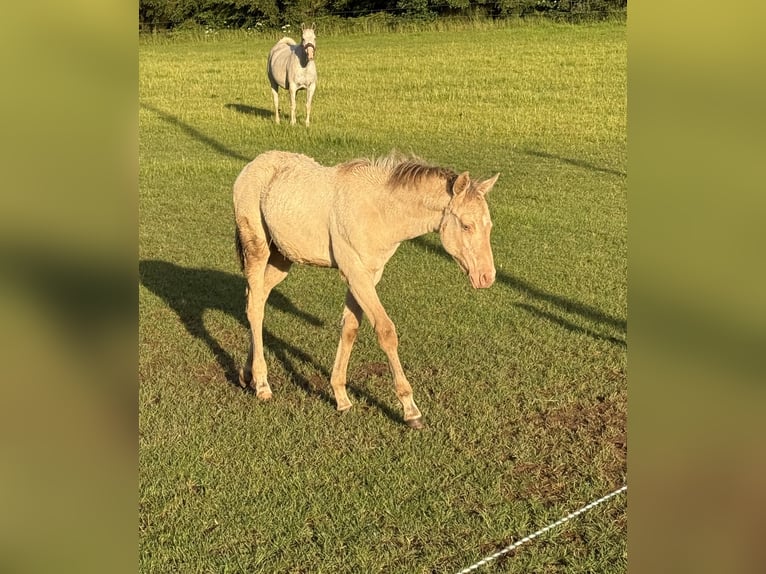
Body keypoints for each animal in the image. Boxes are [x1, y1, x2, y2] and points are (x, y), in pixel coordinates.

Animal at [233, 151, 500, 428]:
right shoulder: (355, 273)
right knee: (254, 307)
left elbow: (350, 328)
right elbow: (385, 331)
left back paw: (247, 374)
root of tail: (254, 164)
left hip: (282, 259)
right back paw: (262, 384)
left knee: (257, 299)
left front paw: (341, 397)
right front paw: (410, 410)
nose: (487, 277)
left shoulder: (367, 276)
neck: (378, 210)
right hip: (257, 249)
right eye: (467, 225)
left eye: (489, 226)